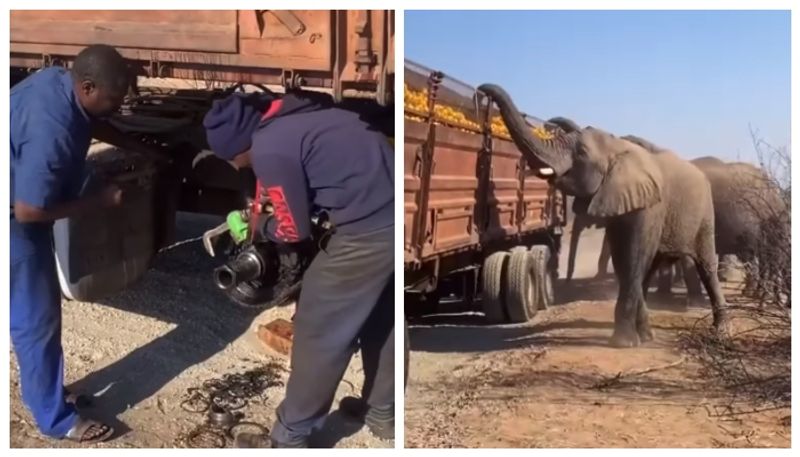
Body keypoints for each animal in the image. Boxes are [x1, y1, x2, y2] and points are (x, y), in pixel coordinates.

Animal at [478, 83, 728, 346]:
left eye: (582, 153)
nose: (483, 90)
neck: (619, 148)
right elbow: (623, 259)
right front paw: (636, 339)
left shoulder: (649, 205)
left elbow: (633, 257)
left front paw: (623, 343)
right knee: (650, 267)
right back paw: (648, 334)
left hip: (705, 214)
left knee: (705, 265)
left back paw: (719, 330)